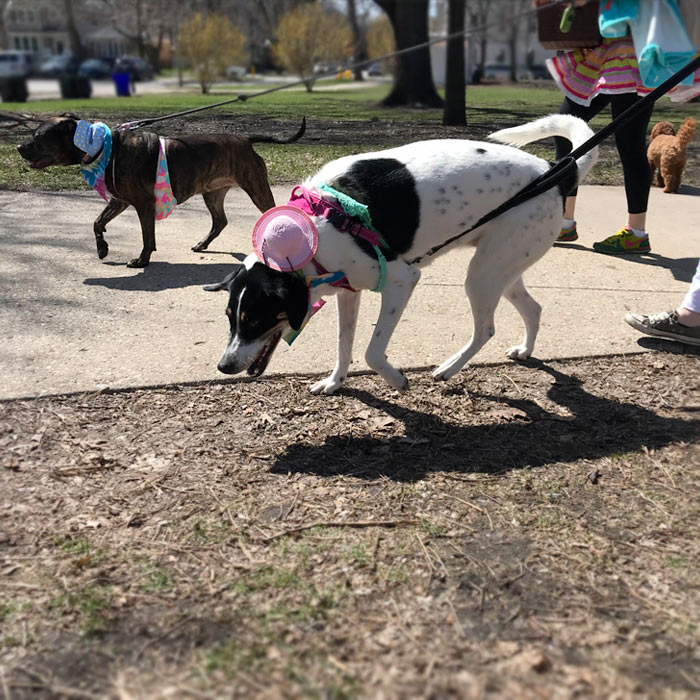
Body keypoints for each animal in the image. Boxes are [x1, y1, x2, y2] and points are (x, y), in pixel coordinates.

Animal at [16, 116, 304, 266]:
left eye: (38, 137)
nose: (19, 147)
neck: (104, 147)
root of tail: (244, 138)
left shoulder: (142, 204)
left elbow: (147, 236)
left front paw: (142, 260)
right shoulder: (119, 200)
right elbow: (97, 222)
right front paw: (102, 248)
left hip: (256, 186)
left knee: (275, 213)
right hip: (212, 192)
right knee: (220, 221)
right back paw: (203, 244)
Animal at [206, 115, 596, 394]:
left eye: (255, 319)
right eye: (229, 317)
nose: (224, 366)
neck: (312, 231)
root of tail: (555, 173)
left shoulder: (401, 280)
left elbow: (371, 351)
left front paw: (396, 379)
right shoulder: (349, 291)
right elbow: (344, 344)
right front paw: (335, 382)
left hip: (483, 275)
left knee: (485, 329)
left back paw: (448, 368)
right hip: (503, 268)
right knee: (533, 309)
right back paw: (524, 350)